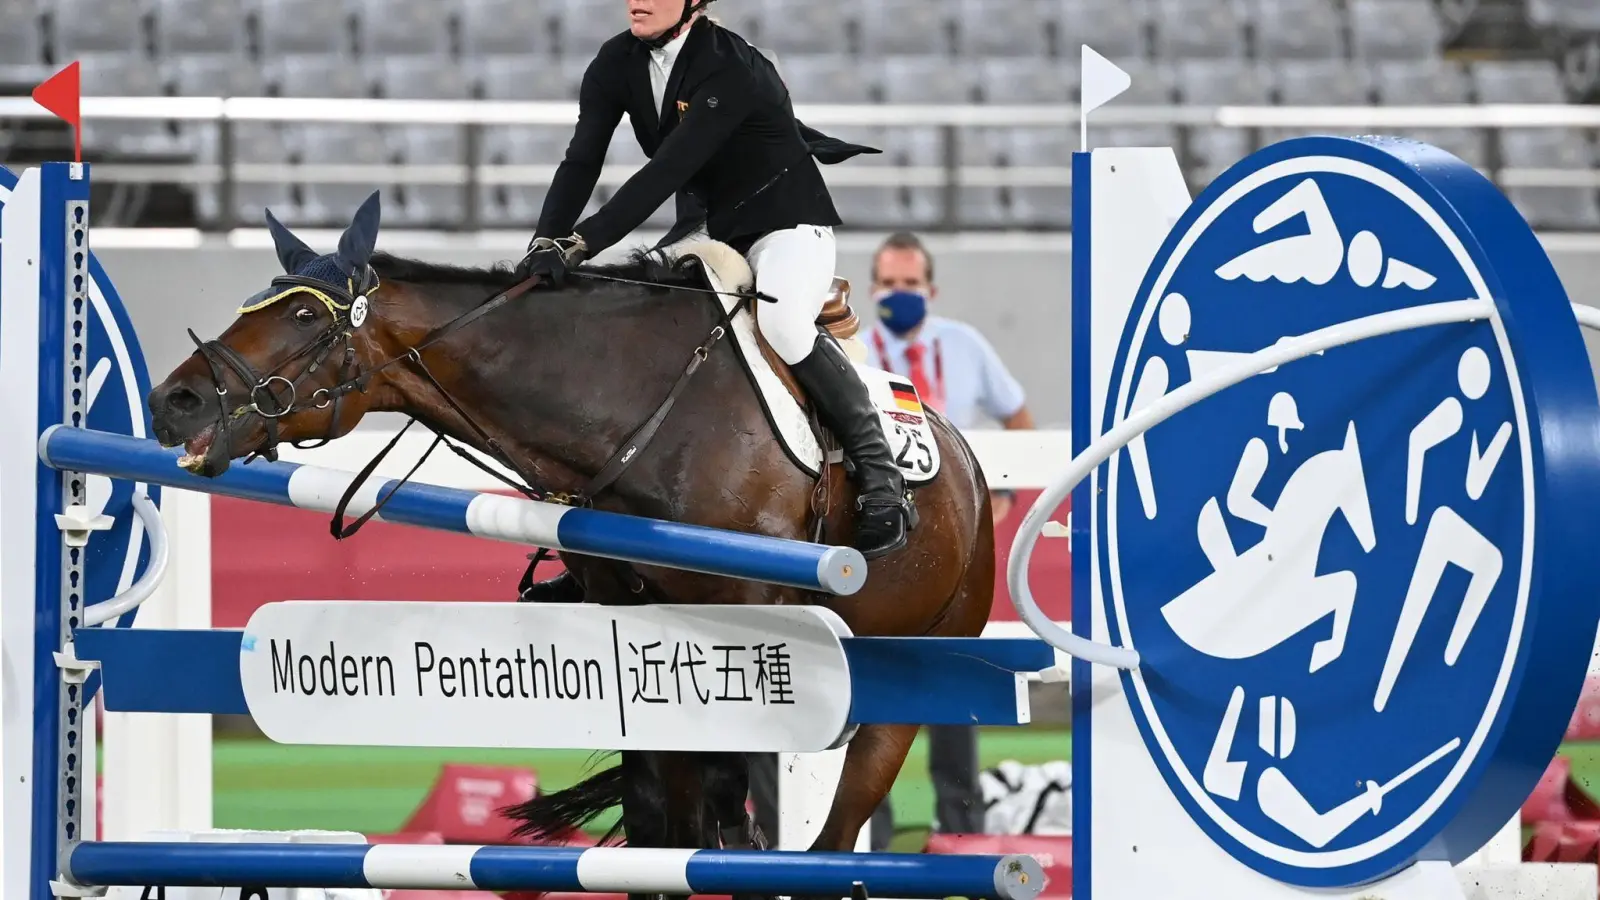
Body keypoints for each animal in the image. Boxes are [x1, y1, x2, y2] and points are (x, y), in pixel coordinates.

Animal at [150, 190, 998, 890]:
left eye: (304, 319)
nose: (173, 402)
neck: (632, 409)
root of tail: (965, 466)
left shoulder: (751, 630)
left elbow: (725, 817)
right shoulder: (638, 634)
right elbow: (670, 829)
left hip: (906, 676)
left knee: (836, 833)